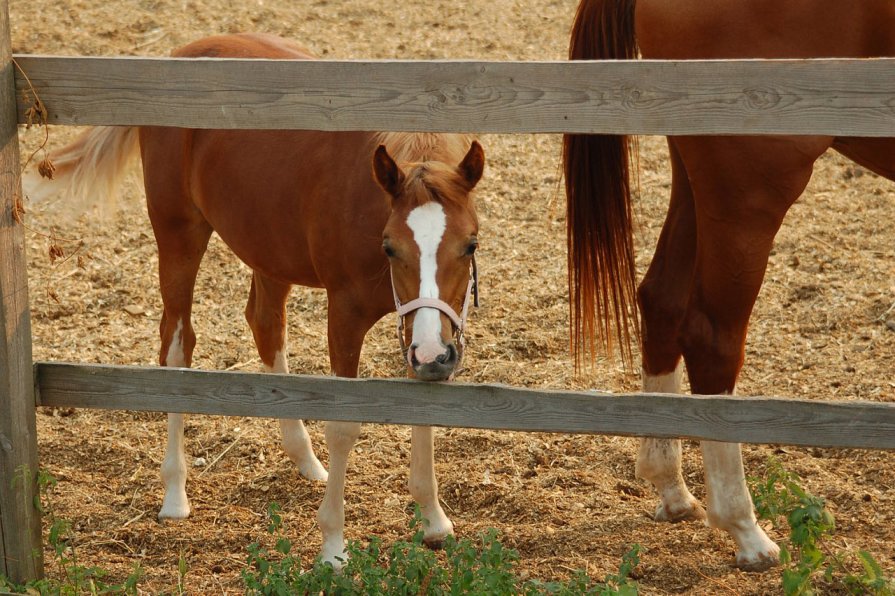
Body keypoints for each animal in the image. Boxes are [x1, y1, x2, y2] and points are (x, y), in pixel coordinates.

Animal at [31, 31, 486, 568]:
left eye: (470, 244)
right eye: (390, 246)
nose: (437, 354)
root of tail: (180, 54)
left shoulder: (418, 325)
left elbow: (421, 405)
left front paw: (434, 519)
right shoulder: (346, 314)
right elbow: (344, 424)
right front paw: (333, 546)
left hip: (268, 249)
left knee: (264, 323)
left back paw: (306, 461)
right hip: (178, 235)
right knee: (177, 346)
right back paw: (175, 493)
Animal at [568, 0, 895, 572]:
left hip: (697, 175)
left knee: (660, 301)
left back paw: (672, 489)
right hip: (748, 190)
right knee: (711, 338)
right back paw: (744, 529)